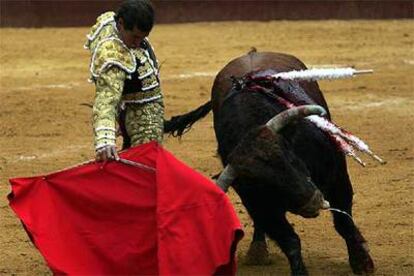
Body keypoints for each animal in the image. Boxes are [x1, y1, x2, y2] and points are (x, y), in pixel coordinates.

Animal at [163, 50, 374, 274]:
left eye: (289, 157)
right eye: (262, 183)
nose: (313, 201)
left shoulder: (337, 176)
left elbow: (343, 221)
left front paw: (362, 262)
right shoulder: (258, 202)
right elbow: (289, 241)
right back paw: (257, 251)